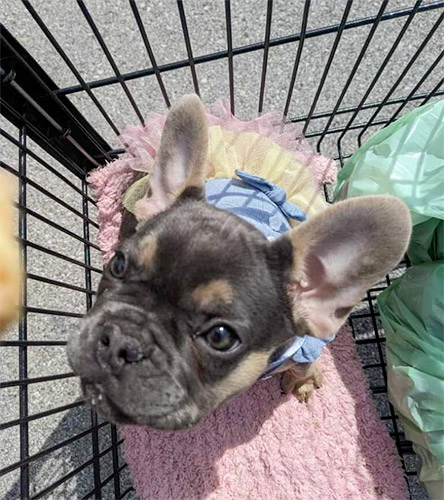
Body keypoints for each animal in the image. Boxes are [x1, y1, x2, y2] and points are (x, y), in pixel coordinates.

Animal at [67, 95, 412, 432]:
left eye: (220, 337)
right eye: (118, 264)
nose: (121, 341)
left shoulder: (306, 347)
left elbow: (304, 367)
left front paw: (303, 381)